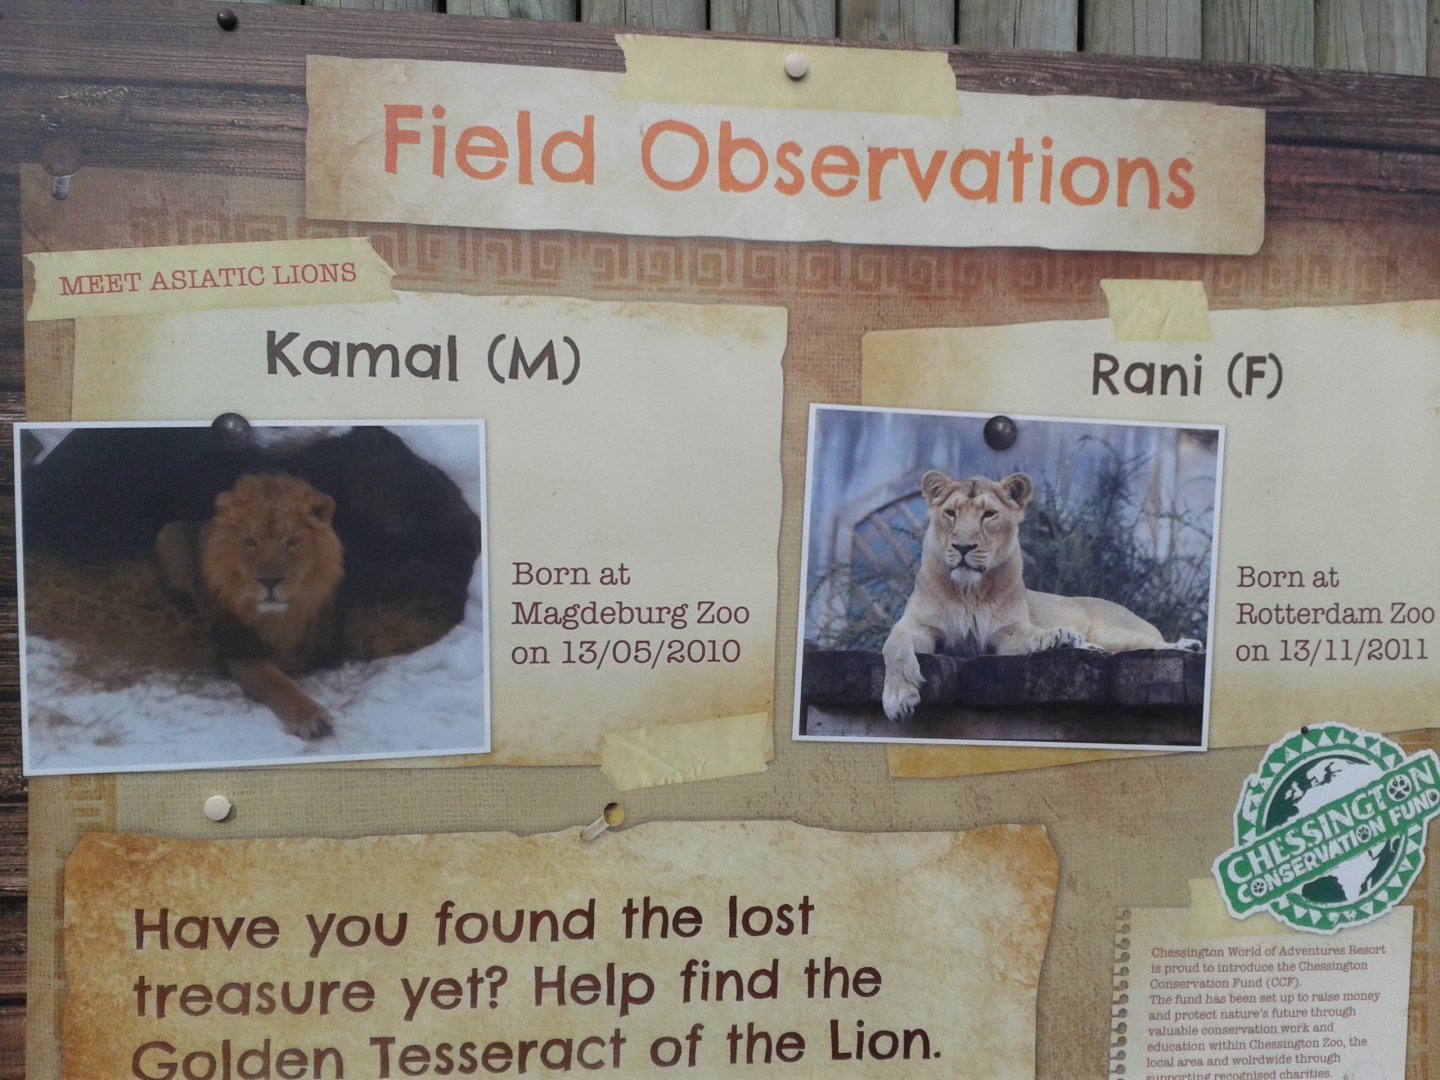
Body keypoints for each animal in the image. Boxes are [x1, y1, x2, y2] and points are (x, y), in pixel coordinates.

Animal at [156, 473, 345, 740]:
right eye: (250, 542)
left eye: (293, 541)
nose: (270, 580)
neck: (277, 619)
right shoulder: (240, 650)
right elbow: (274, 681)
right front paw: (311, 718)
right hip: (167, 533)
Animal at [881, 470, 1203, 723]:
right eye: (951, 513)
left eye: (989, 514)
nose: (962, 547)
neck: (967, 593)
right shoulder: (916, 626)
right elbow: (894, 647)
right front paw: (898, 697)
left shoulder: (1005, 634)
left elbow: (1032, 635)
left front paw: (1057, 636)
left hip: (1118, 632)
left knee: (1152, 643)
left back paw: (1187, 645)